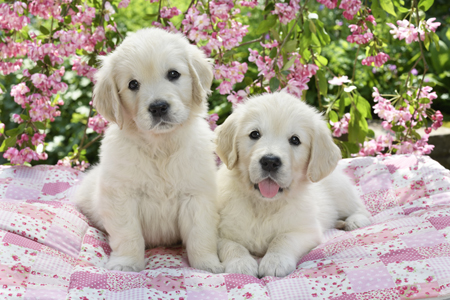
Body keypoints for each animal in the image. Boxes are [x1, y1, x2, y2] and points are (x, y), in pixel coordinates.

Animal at [74, 28, 224, 274]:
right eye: (133, 84)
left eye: (173, 74)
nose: (158, 107)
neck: (160, 147)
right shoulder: (121, 196)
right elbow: (128, 234)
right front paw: (126, 263)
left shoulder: (197, 194)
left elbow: (200, 233)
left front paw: (208, 264)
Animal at [214, 91, 370, 276]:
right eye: (254, 134)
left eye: (295, 140)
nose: (270, 162)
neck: (264, 205)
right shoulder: (218, 233)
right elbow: (231, 245)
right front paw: (241, 263)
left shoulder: (306, 231)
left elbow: (283, 238)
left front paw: (275, 261)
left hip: (341, 191)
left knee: (360, 207)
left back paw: (355, 221)